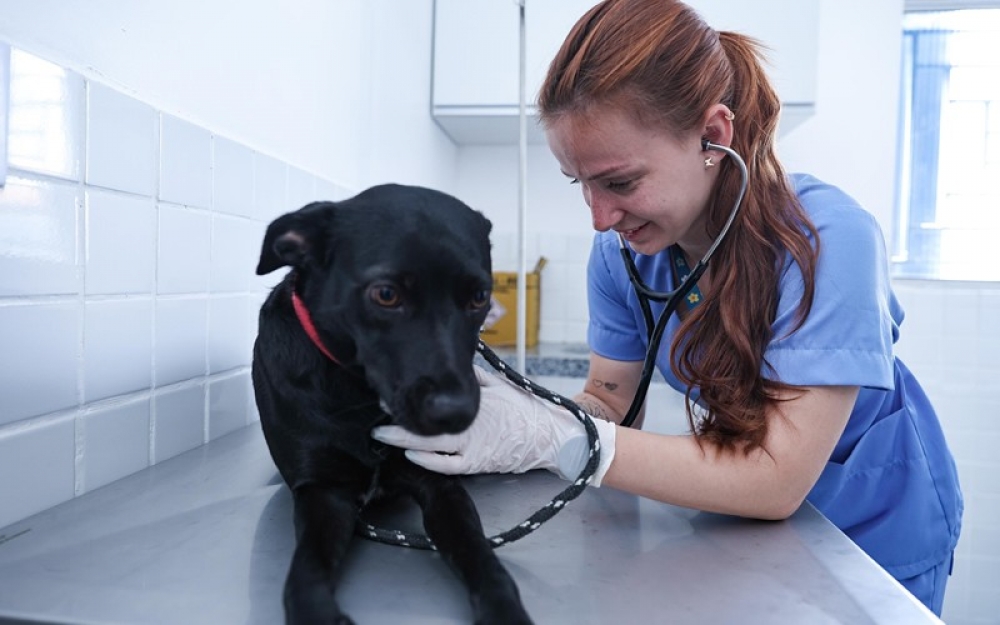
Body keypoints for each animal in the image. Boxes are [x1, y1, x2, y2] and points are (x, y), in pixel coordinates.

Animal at [252, 184, 532, 624]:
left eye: (480, 296)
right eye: (386, 294)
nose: (456, 412)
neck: (361, 402)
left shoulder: (439, 485)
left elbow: (480, 553)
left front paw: (504, 609)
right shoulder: (323, 492)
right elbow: (306, 564)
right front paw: (316, 612)